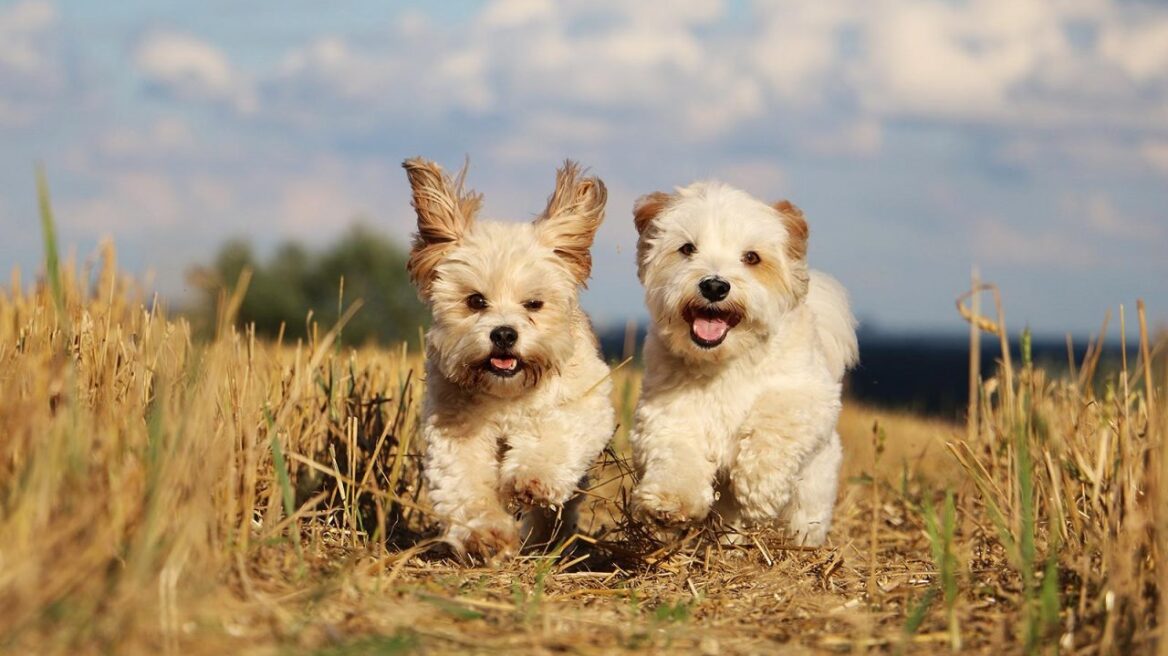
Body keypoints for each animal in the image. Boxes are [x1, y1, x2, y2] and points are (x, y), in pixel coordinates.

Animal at [630, 180, 859, 543]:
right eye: (687, 248)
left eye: (752, 257)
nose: (714, 285)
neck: (725, 362)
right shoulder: (666, 412)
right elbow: (676, 451)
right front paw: (670, 501)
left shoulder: (809, 396)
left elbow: (776, 421)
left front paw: (759, 485)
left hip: (812, 495)